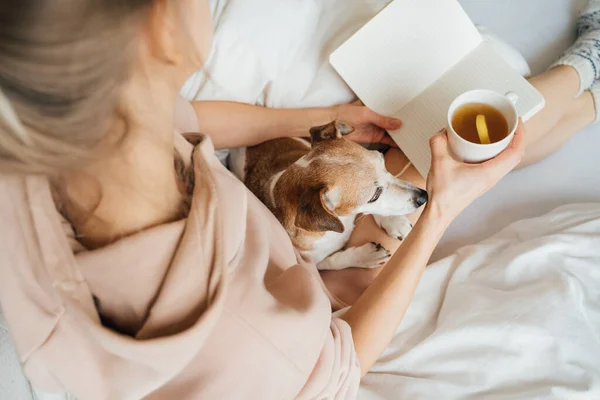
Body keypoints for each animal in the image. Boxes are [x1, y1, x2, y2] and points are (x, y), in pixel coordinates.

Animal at [230, 120, 426, 270]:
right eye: (374, 196)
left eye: (383, 162)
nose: (423, 196)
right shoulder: (313, 264)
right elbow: (335, 260)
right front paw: (365, 256)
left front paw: (394, 221)